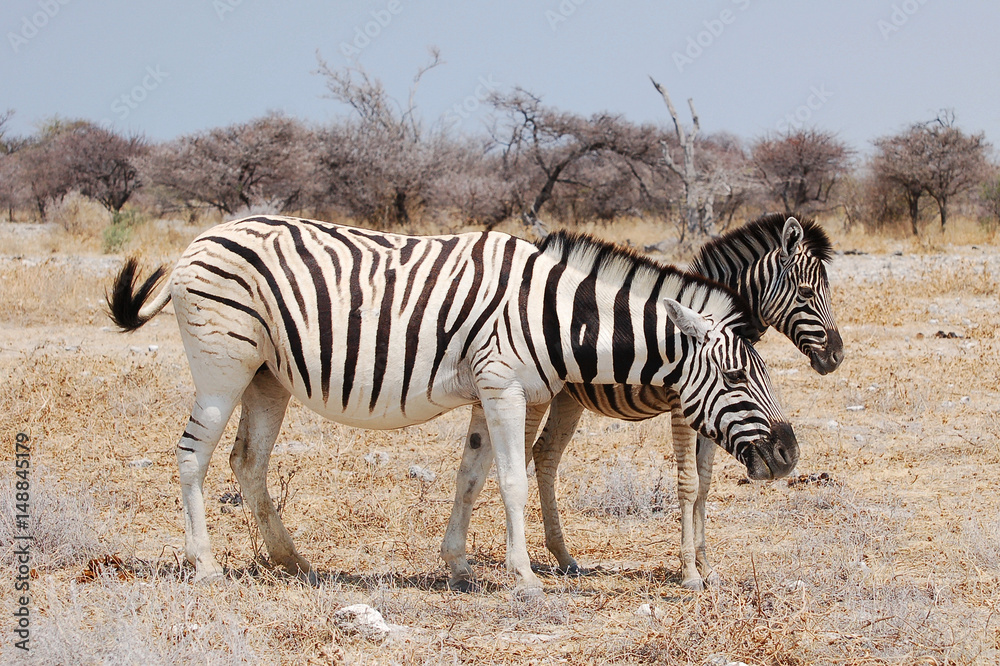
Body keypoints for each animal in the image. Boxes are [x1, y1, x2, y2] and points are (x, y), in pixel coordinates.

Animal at [107, 215, 796, 592]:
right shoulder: (504, 387)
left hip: (267, 376)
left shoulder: (488, 393)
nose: (789, 454)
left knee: (247, 462)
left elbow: (471, 476)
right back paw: (206, 566)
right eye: (738, 376)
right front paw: (525, 578)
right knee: (192, 457)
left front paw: (460, 565)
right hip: (222, 366)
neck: (555, 317)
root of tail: (201, 239)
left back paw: (294, 562)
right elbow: (513, 479)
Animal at [442, 213, 840, 588]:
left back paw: (563, 556)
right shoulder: (684, 406)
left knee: (545, 454)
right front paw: (690, 572)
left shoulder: (713, 413)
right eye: (806, 293)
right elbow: (688, 483)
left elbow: (704, 482)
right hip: (536, 394)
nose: (835, 357)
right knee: (520, 456)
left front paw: (706, 565)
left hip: (567, 398)